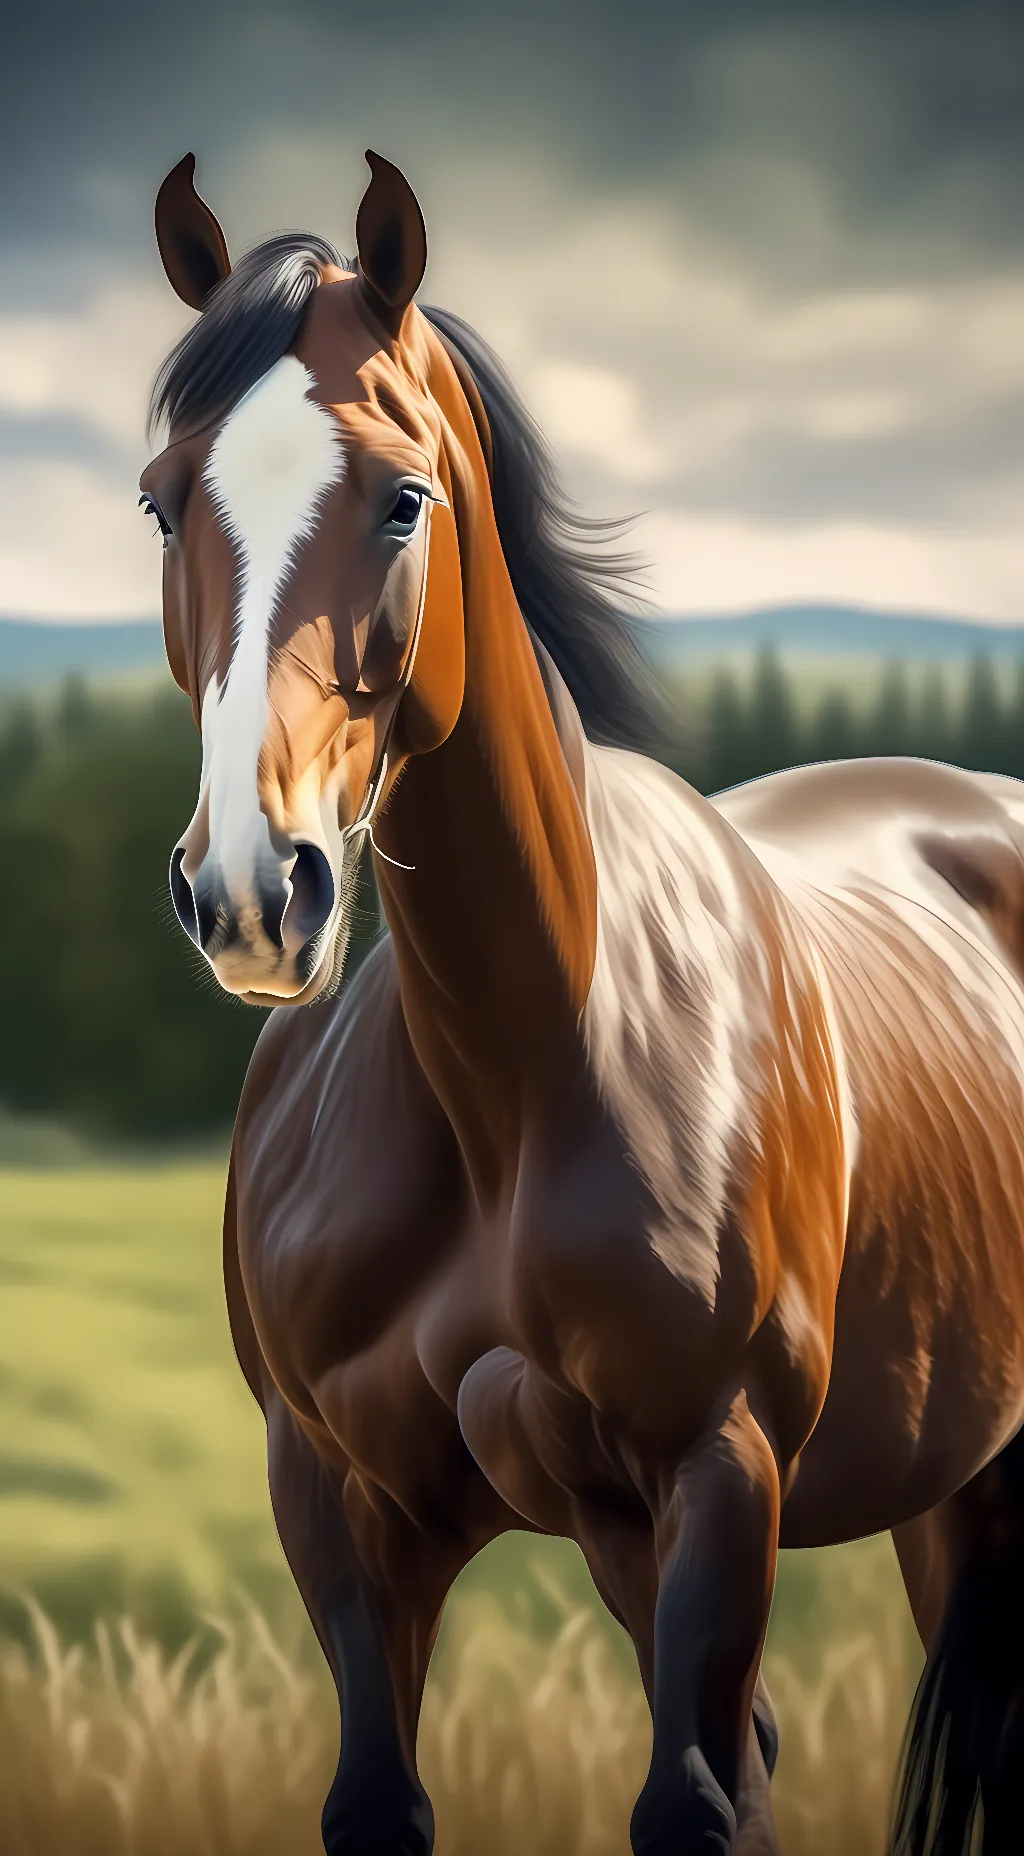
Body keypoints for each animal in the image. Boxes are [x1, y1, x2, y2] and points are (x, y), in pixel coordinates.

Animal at [142, 148, 1024, 1855]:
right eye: (161, 497)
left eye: (402, 496)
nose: (254, 895)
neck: (517, 1071)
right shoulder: (344, 1504)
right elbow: (385, 1797)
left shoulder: (717, 1478)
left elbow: (688, 1805)